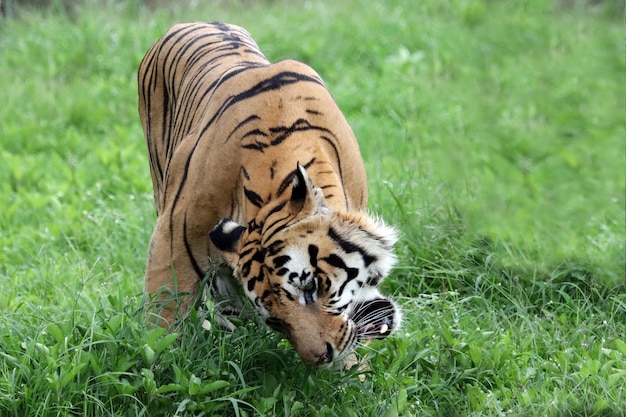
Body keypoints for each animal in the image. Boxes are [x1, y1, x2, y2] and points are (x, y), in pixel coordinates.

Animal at [137, 21, 400, 364]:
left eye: (310, 287)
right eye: (276, 320)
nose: (322, 357)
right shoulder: (173, 240)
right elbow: (162, 320)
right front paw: (159, 364)